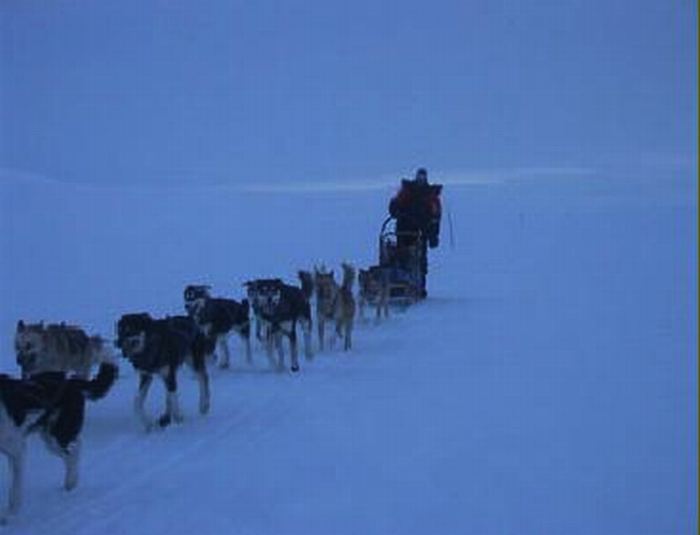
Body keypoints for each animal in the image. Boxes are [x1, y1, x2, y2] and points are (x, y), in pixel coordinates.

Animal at [0, 360, 117, 523]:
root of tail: (70, 382)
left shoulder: (17, 450)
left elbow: (14, 491)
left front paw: (10, 514)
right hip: (50, 438)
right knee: (73, 450)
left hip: (58, 436)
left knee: (75, 450)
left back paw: (71, 483)